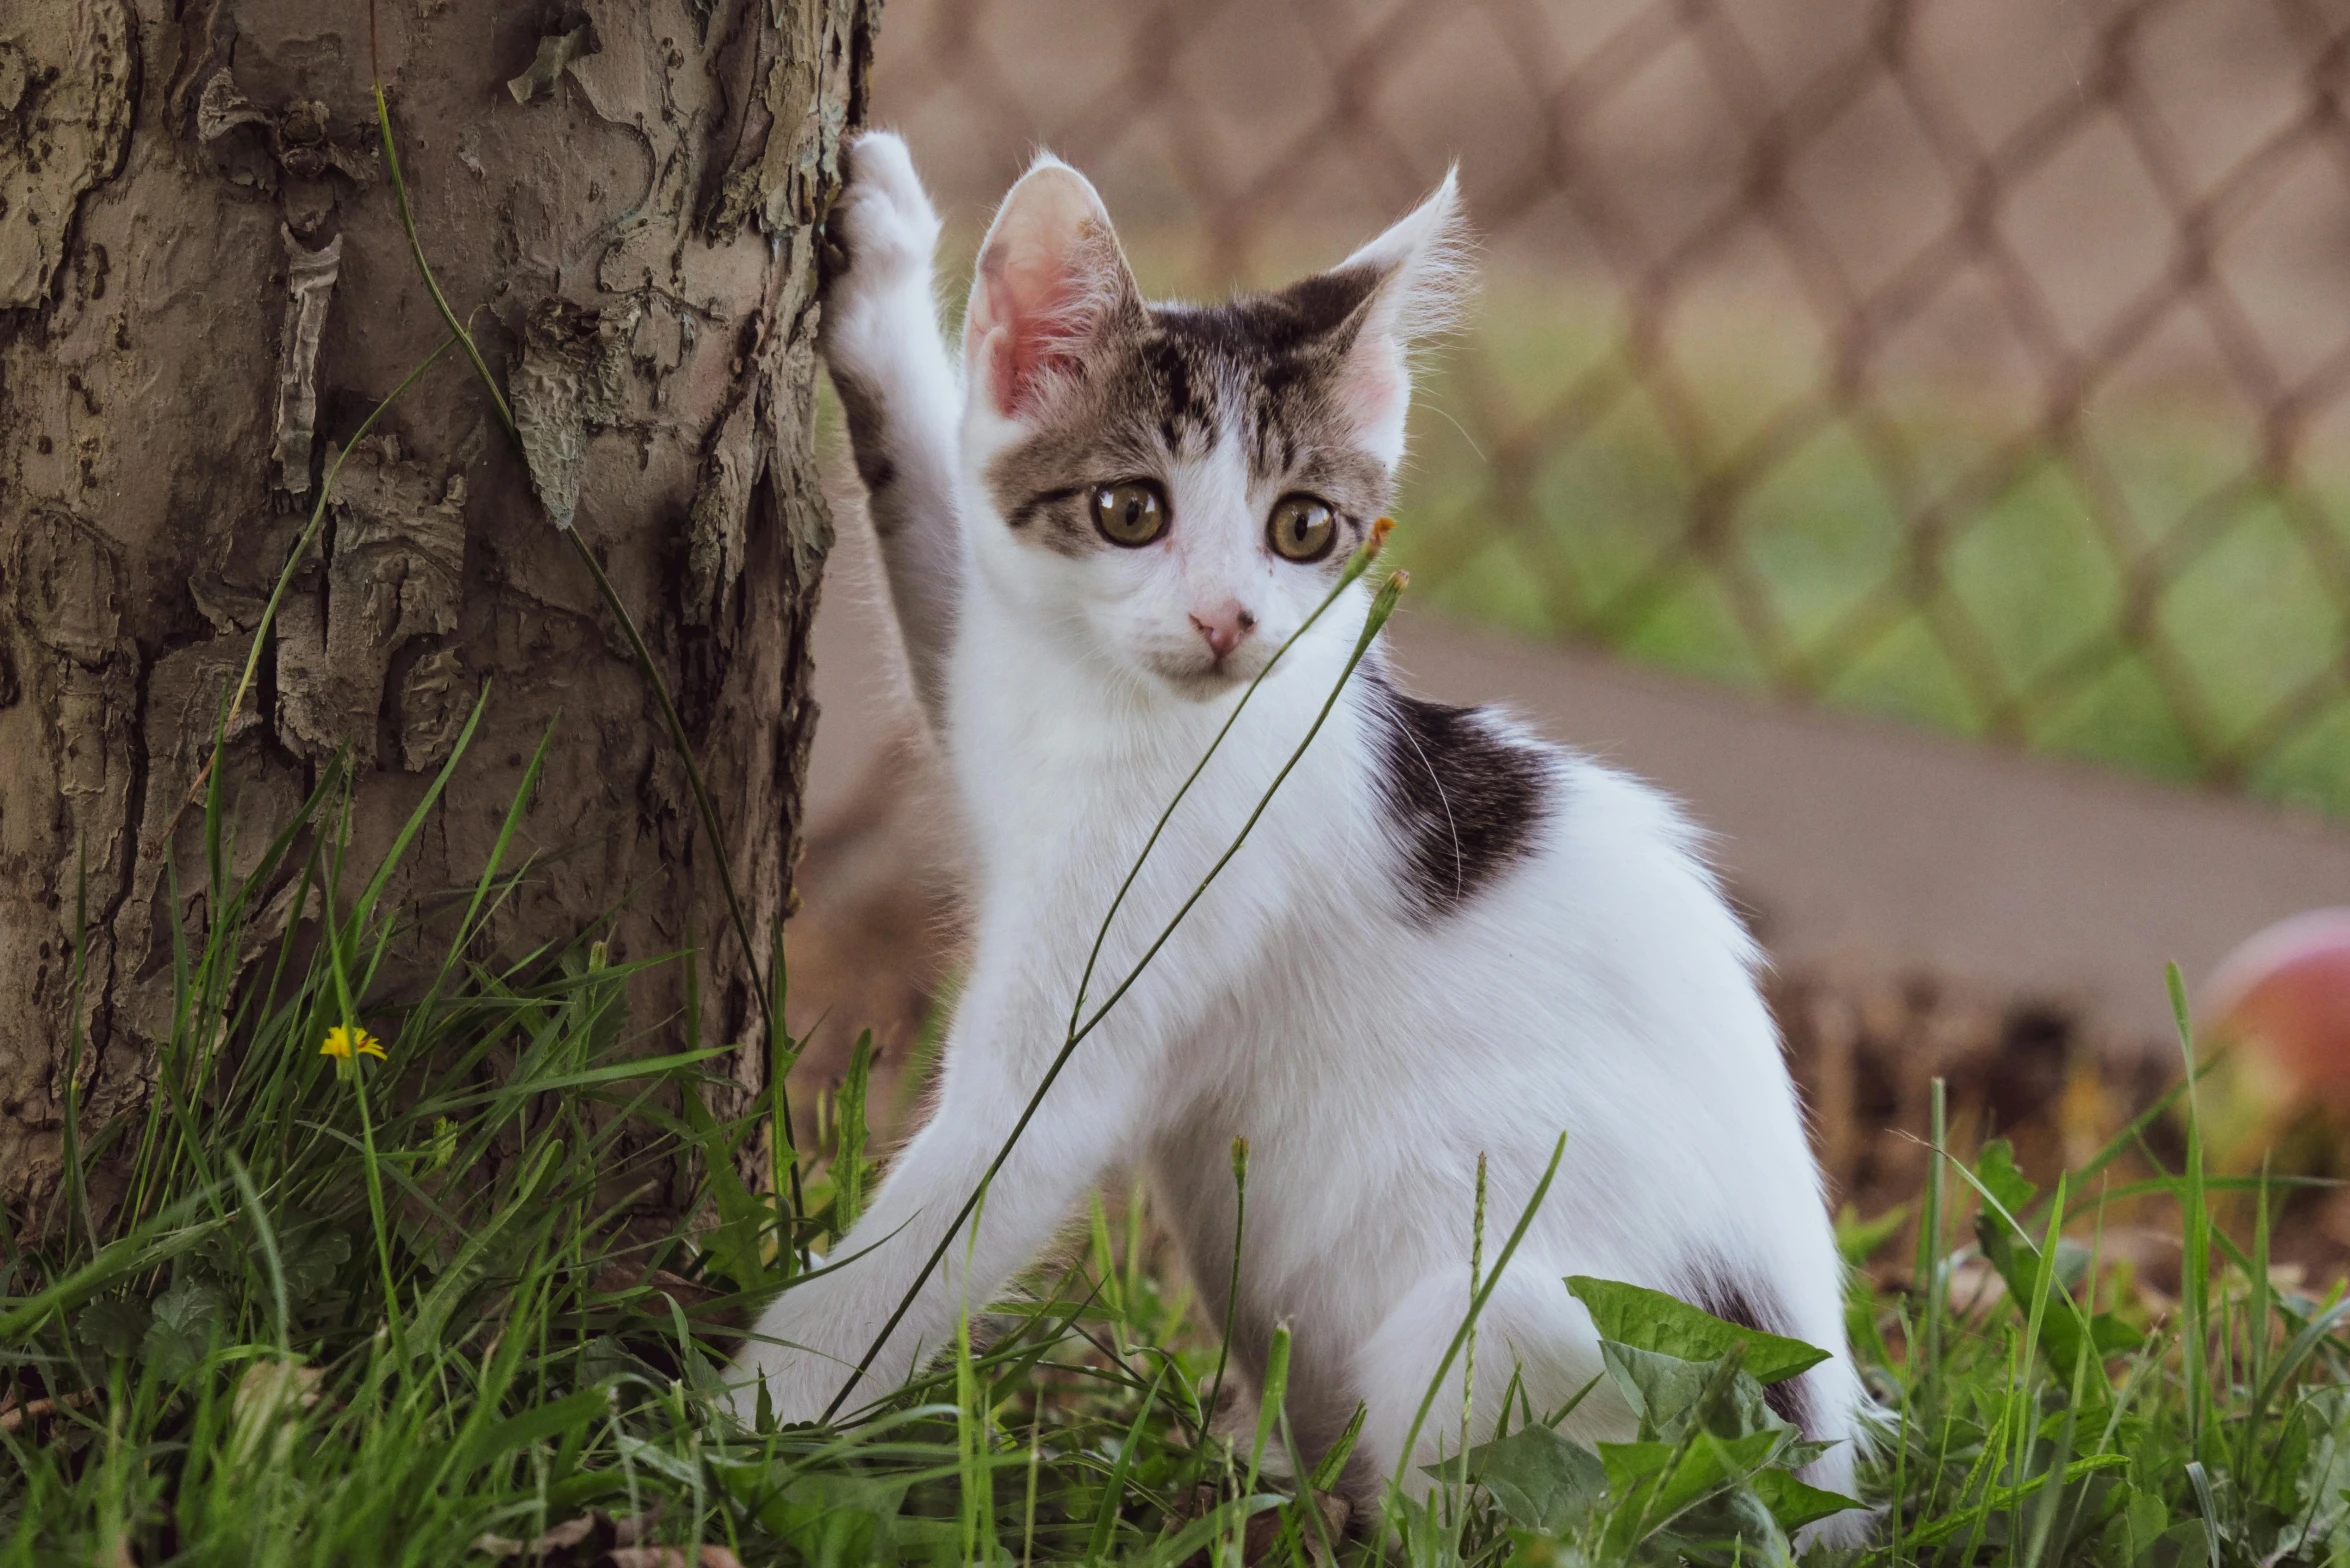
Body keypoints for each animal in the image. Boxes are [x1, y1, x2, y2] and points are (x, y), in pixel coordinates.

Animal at [723, 131, 1861, 1532]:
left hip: (1536, 1330)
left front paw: (727, 1427)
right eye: (1130, 510)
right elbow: (947, 532)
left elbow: (927, 1237)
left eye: (1303, 526)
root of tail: (1814, 1488)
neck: (1123, 714)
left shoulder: (1083, 1039)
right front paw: (882, 258)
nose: (1228, 621)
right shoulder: (995, 671)